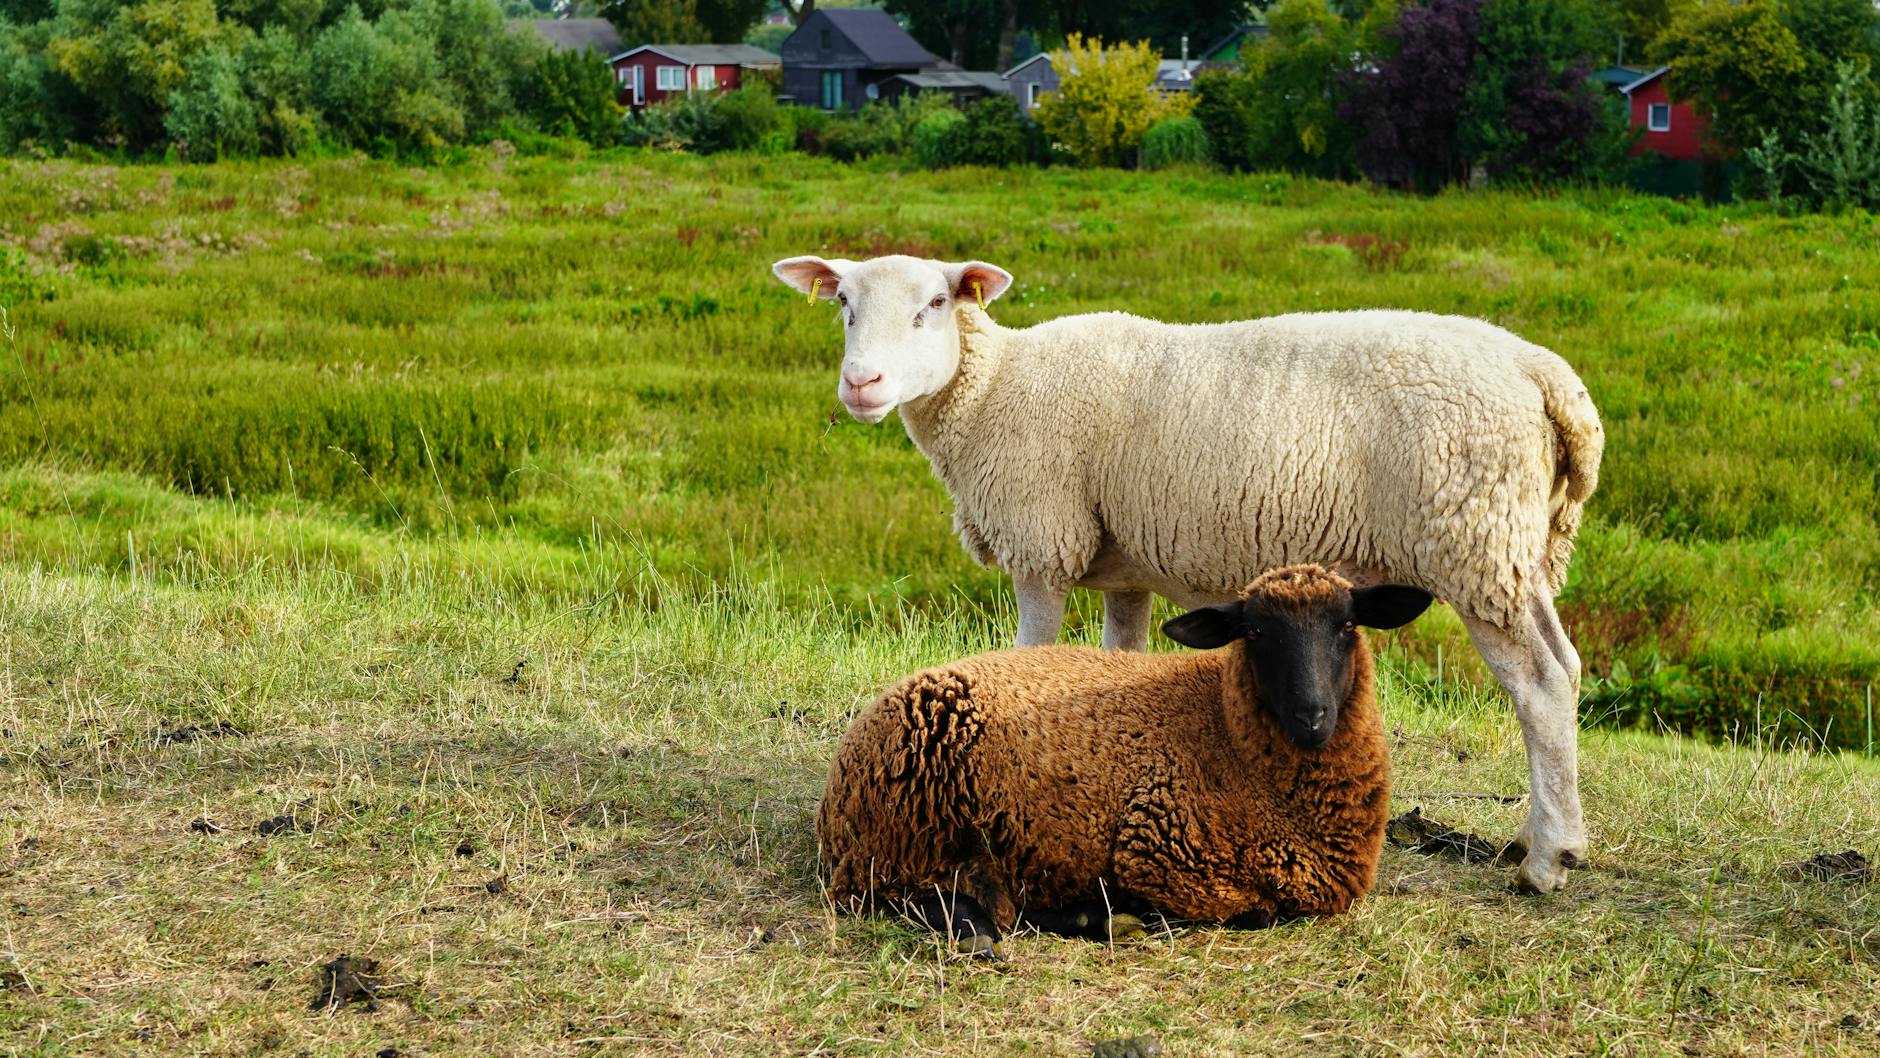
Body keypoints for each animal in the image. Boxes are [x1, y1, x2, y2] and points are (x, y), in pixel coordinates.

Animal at [771, 253, 1603, 894]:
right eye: (842, 304)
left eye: (935, 305)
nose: (862, 384)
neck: (994, 389)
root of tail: (1543, 375)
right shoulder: (1123, 568)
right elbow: (1119, 665)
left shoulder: (1042, 538)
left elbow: (1027, 656)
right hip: (1520, 550)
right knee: (1565, 665)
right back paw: (1541, 835)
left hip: (1474, 541)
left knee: (1538, 685)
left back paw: (1546, 862)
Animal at [817, 565, 1434, 955]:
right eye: (1256, 631)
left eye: (1347, 625)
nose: (1312, 716)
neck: (1221, 724)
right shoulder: (1157, 849)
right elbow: (1255, 910)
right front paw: (1138, 911)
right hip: (902, 837)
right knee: (904, 896)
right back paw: (998, 932)